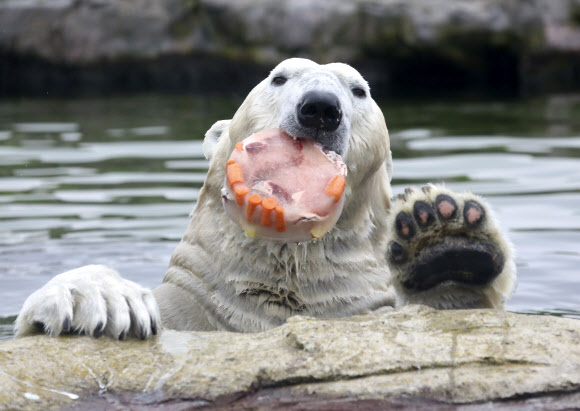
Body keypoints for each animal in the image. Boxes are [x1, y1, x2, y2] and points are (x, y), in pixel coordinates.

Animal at [15, 58, 516, 342]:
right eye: (279, 77)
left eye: (359, 90)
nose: (320, 107)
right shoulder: (193, 310)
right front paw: (98, 299)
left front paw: (441, 238)